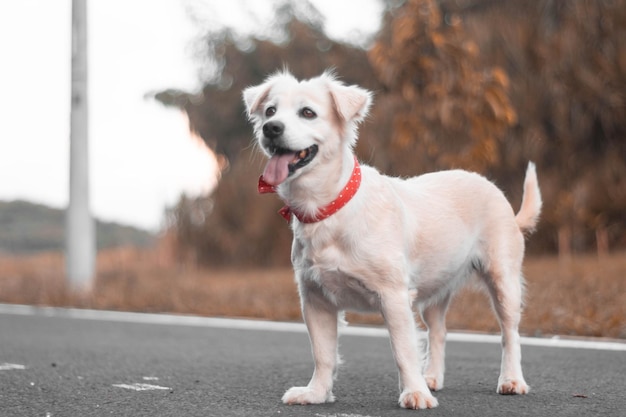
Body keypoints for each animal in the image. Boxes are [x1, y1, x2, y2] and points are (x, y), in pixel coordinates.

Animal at [241, 70, 540, 408]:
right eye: (270, 111)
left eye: (307, 113)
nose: (271, 128)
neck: (329, 209)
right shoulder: (316, 300)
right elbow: (323, 354)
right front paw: (316, 392)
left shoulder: (393, 296)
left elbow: (403, 350)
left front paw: (414, 393)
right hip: (434, 292)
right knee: (438, 332)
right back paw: (431, 377)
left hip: (503, 281)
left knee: (509, 333)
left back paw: (511, 379)